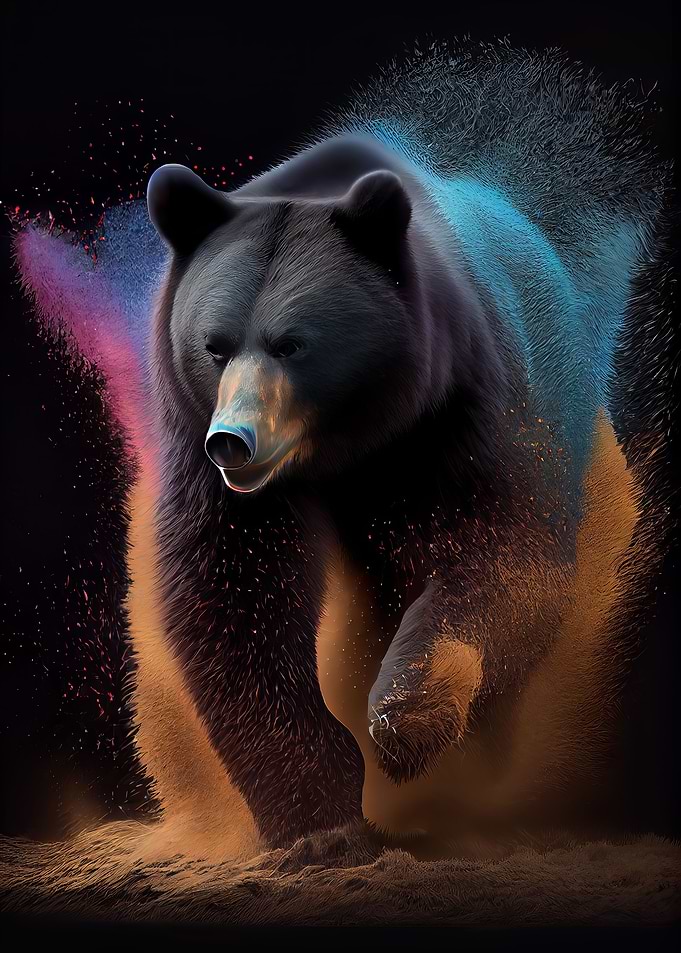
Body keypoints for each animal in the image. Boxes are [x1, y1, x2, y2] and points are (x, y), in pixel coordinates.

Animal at [8, 42, 670, 852]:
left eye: (293, 343)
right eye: (214, 344)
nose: (233, 442)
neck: (355, 436)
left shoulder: (465, 405)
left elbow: (503, 552)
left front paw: (406, 726)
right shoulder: (199, 446)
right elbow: (235, 590)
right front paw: (317, 816)